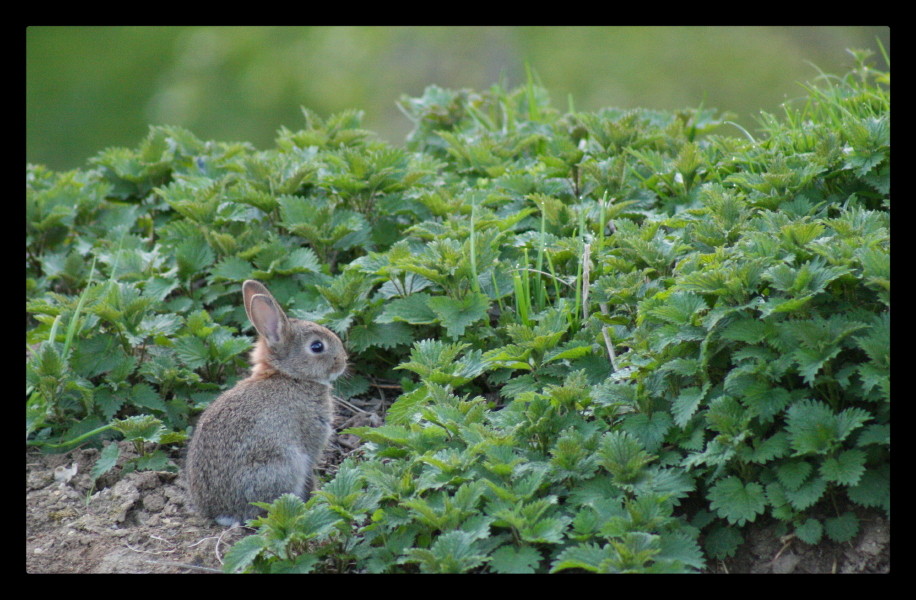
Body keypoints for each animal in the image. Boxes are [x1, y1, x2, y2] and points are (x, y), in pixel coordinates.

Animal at [185, 280, 348, 524]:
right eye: (317, 347)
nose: (344, 361)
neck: (289, 376)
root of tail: (222, 513)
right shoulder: (310, 442)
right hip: (281, 465)